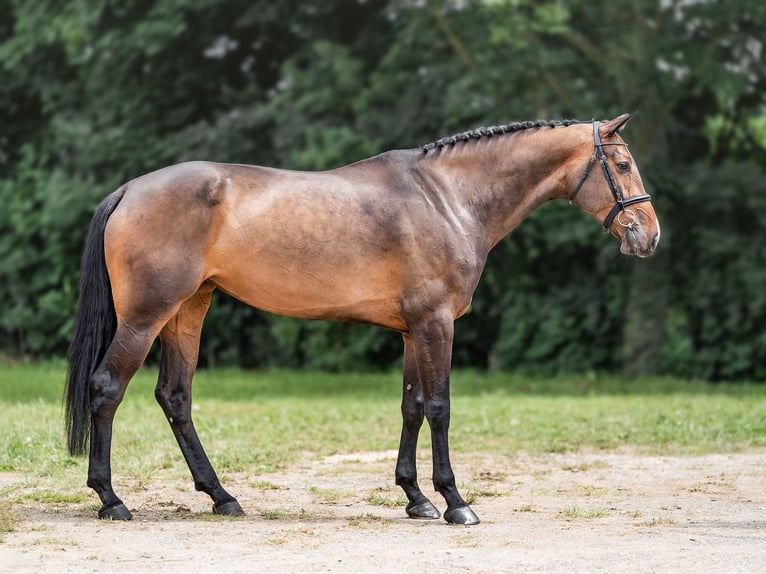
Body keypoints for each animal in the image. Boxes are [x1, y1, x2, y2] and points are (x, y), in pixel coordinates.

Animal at [64, 112, 660, 528]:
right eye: (622, 165)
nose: (648, 236)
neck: (448, 198)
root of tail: (130, 189)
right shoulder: (436, 324)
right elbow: (440, 407)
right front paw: (454, 502)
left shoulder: (413, 330)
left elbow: (412, 407)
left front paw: (415, 498)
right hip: (145, 318)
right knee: (107, 388)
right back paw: (111, 499)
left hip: (189, 310)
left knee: (176, 397)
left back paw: (222, 496)